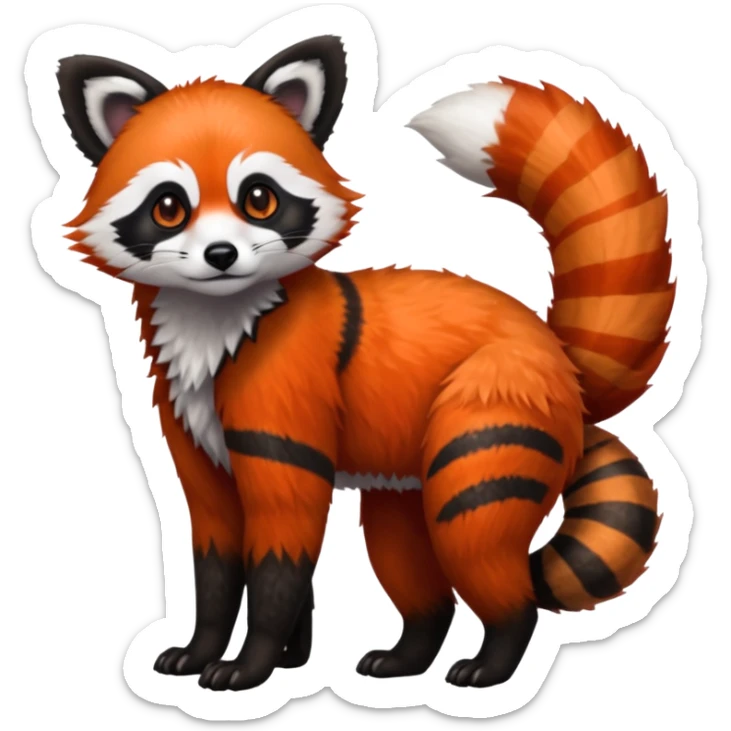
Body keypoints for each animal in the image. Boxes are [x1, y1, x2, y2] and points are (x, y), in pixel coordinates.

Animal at [52, 36, 672, 691]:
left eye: (259, 199)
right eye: (169, 207)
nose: (221, 255)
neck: (215, 325)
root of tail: (558, 358)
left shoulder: (284, 442)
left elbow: (276, 570)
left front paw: (251, 665)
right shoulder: (204, 465)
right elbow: (217, 573)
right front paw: (237, 653)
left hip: (482, 447)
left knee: (494, 568)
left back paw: (491, 665)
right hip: (402, 485)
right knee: (421, 583)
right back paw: (406, 658)